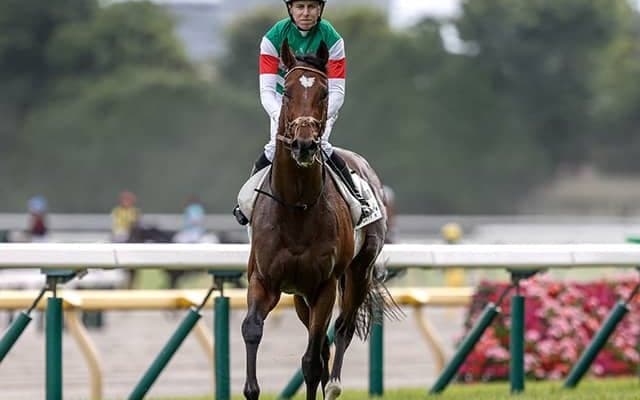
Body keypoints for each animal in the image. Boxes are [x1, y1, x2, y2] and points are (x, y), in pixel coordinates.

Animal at [241, 39, 400, 400]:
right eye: (286, 92)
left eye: (325, 93)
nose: (303, 144)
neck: (297, 208)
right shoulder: (264, 280)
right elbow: (252, 329)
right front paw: (251, 388)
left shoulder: (324, 286)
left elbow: (312, 360)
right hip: (300, 296)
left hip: (358, 272)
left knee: (341, 330)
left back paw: (335, 384)